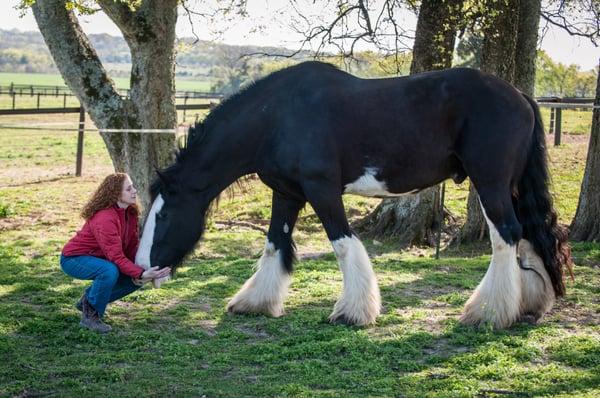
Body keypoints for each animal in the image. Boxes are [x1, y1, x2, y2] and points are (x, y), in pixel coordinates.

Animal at [136, 62, 572, 328]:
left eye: (164, 214)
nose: (142, 269)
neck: (277, 116)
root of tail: (520, 97)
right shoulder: (287, 193)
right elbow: (275, 244)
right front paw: (255, 302)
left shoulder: (322, 190)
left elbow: (344, 244)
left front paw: (353, 312)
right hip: (510, 185)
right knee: (528, 235)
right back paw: (528, 305)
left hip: (491, 181)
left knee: (506, 236)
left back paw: (487, 313)